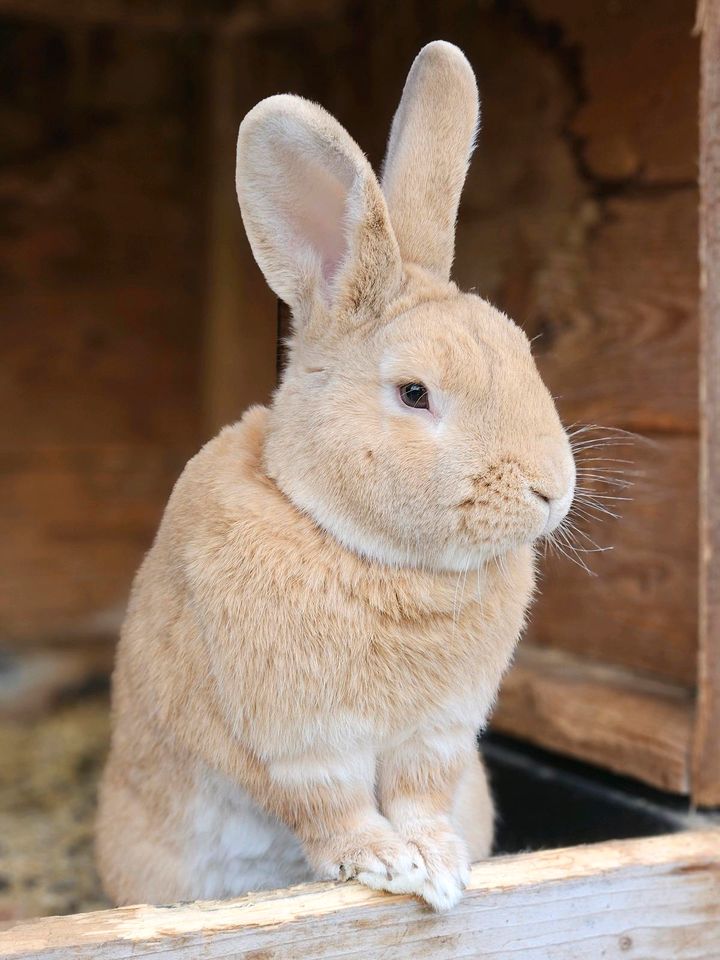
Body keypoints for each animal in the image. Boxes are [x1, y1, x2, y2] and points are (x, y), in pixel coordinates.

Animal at [98, 41, 576, 912]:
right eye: (415, 393)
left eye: (524, 352)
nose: (552, 492)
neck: (367, 552)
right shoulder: (294, 743)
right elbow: (333, 807)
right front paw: (388, 865)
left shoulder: (437, 736)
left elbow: (420, 796)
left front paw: (439, 864)